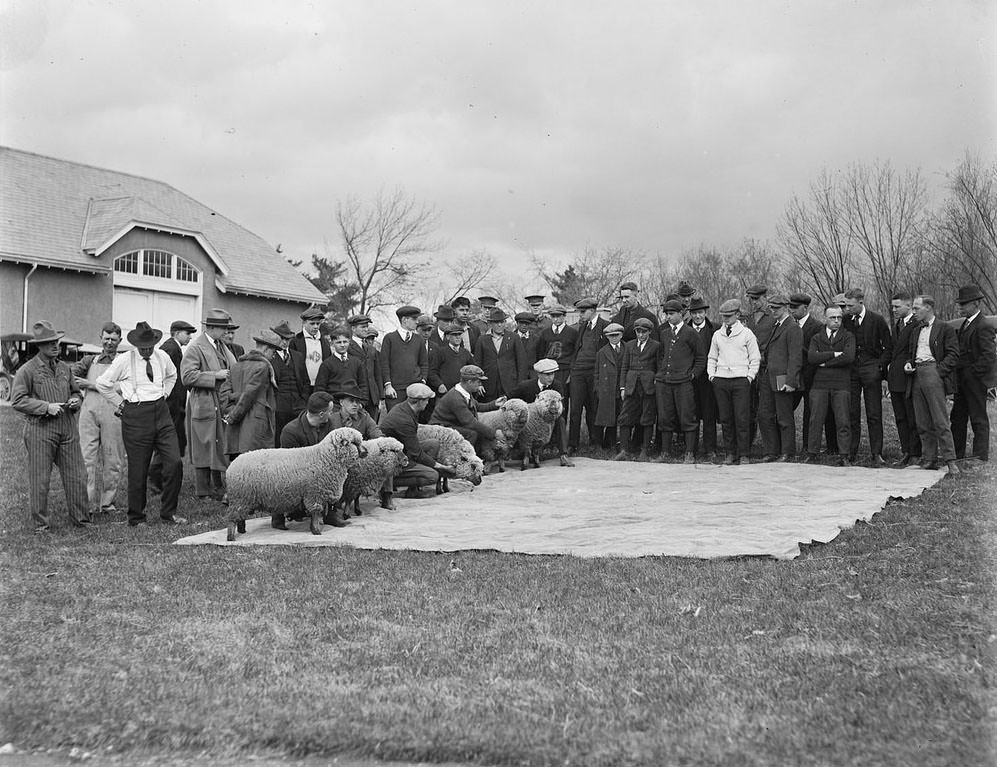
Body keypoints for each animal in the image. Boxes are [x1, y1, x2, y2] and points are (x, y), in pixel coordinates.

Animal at [226, 426, 366, 540]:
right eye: (354, 443)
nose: (366, 452)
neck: (325, 457)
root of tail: (231, 466)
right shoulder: (314, 494)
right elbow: (315, 513)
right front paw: (316, 531)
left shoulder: (322, 492)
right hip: (240, 498)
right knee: (232, 518)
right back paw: (231, 537)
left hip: (244, 499)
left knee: (240, 517)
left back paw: (242, 530)